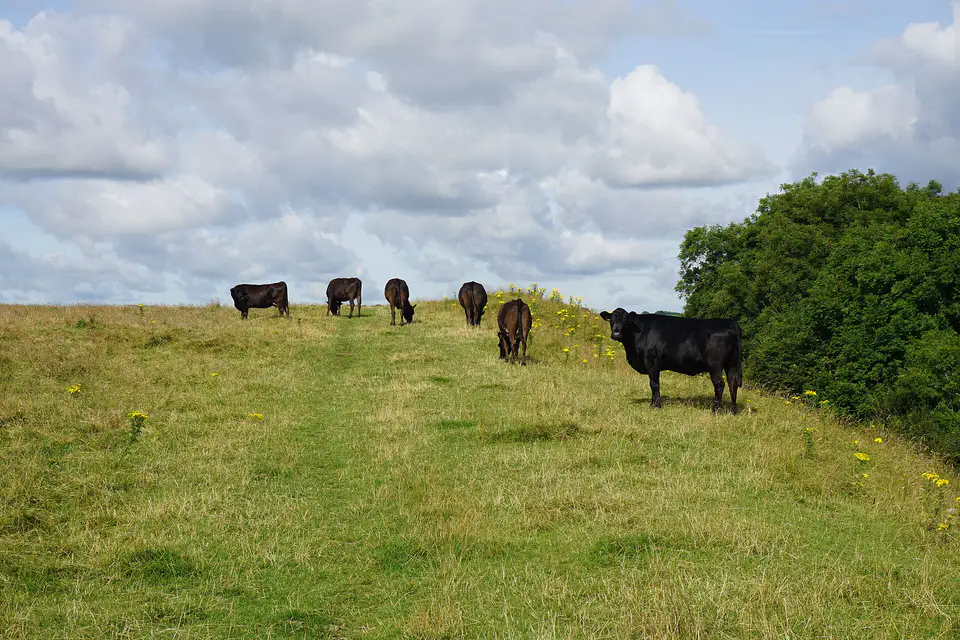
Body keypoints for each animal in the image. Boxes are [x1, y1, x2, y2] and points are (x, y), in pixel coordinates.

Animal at [600, 308, 742, 413]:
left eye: (625, 320)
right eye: (611, 320)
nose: (616, 333)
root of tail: (730, 322)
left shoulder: (651, 363)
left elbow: (654, 384)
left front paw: (656, 406)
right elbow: (653, 385)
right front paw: (652, 404)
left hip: (715, 365)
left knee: (720, 384)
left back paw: (715, 410)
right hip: (731, 363)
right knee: (732, 383)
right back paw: (733, 410)